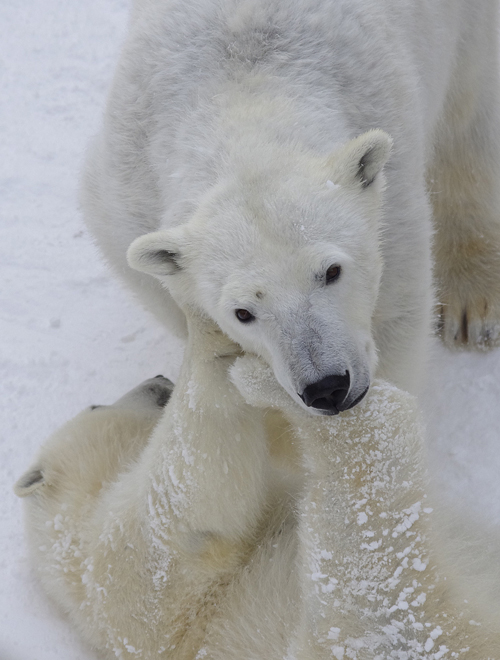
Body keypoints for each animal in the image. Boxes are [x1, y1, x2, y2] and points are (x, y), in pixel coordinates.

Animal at [14, 316, 500, 660]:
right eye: (95, 404)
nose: (157, 380)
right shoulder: (127, 587)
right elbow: (183, 508)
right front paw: (210, 341)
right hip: (354, 634)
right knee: (366, 554)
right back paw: (273, 385)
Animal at [82, 0, 500, 412]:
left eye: (332, 271)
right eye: (242, 312)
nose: (327, 388)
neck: (243, 96)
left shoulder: (392, 195)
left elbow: (397, 313)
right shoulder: (127, 195)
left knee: (467, 116)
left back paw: (471, 305)